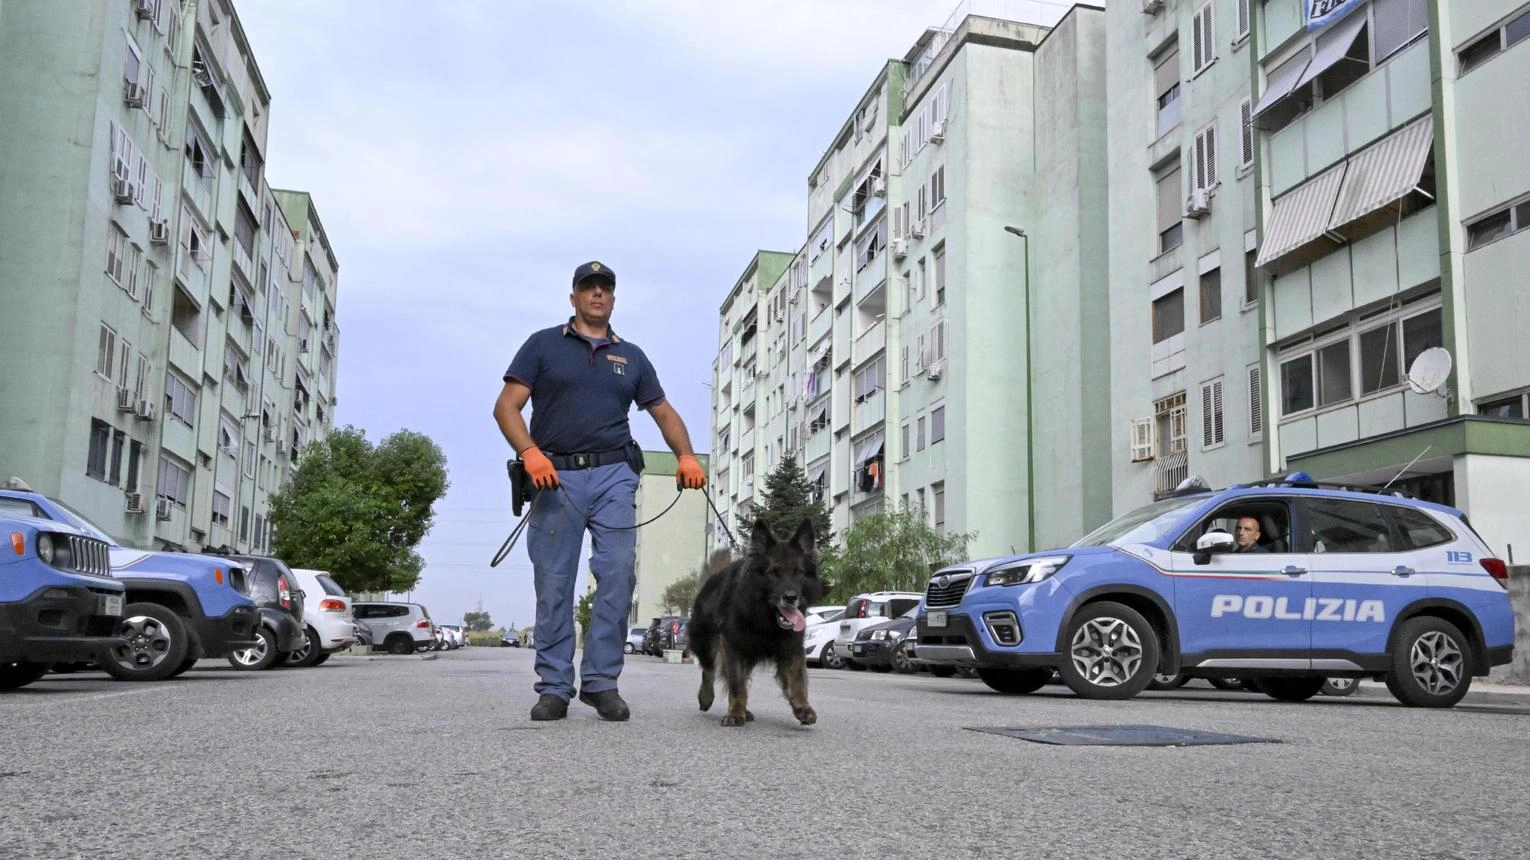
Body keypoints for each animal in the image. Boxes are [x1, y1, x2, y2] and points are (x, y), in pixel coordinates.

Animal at [688, 514, 820, 722]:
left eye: (798, 572)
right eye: (772, 573)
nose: (791, 598)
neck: (764, 620)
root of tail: (710, 581)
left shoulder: (791, 647)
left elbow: (797, 679)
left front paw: (802, 706)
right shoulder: (733, 646)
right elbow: (736, 683)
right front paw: (735, 712)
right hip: (706, 645)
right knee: (709, 671)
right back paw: (707, 697)